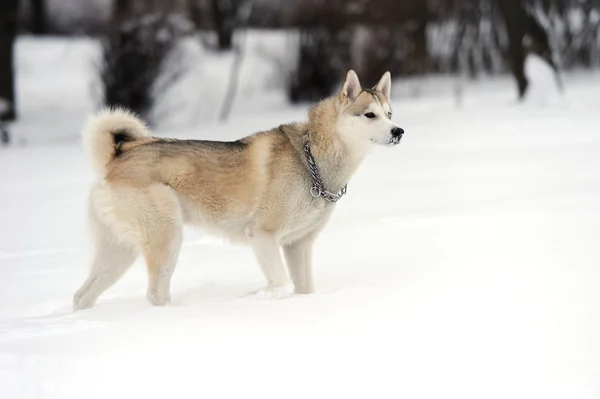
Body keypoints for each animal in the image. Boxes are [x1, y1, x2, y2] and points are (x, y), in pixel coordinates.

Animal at [72, 70, 406, 310]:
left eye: (389, 114)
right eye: (369, 115)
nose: (399, 131)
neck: (311, 158)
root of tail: (116, 157)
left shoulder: (298, 245)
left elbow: (303, 288)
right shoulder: (262, 236)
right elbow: (280, 282)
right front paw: (259, 297)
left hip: (120, 252)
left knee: (82, 296)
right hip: (167, 238)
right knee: (155, 294)